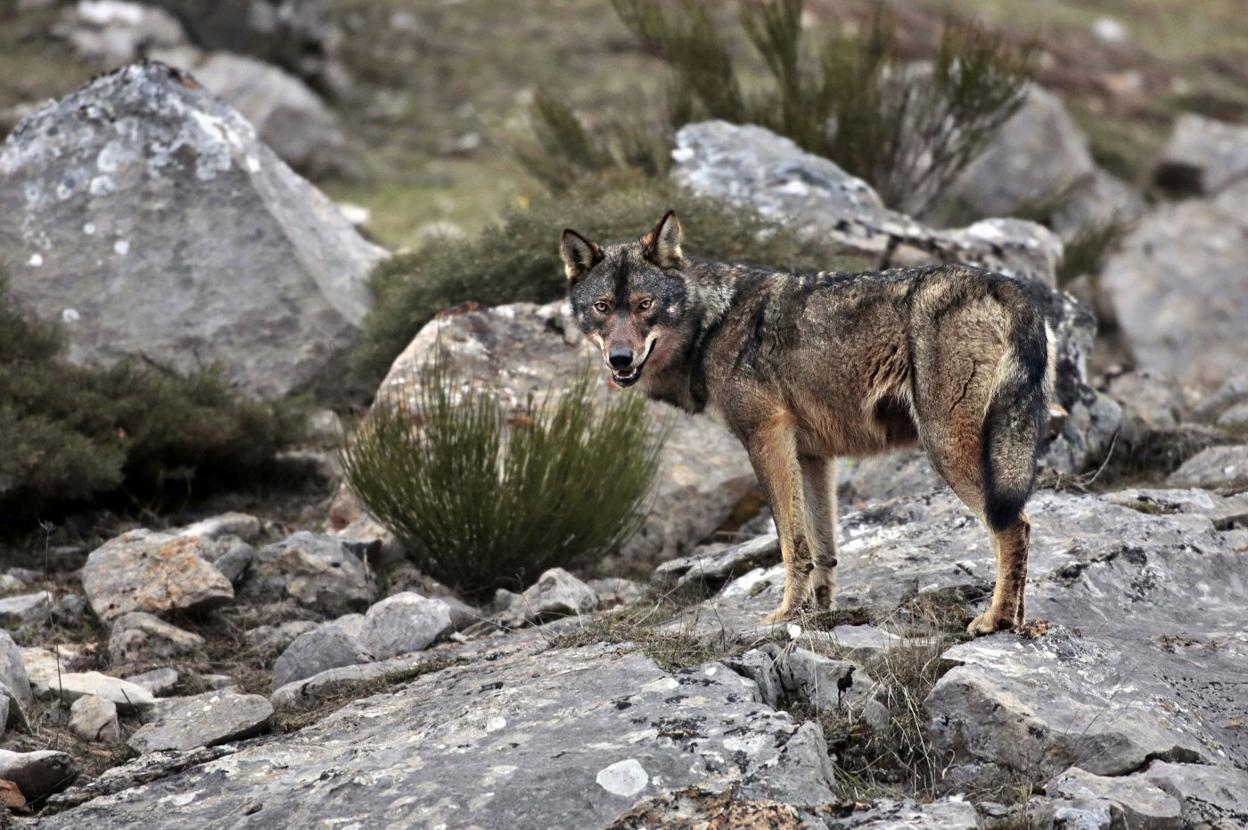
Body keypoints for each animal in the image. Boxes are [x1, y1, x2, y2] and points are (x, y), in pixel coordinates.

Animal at [559, 210, 1053, 631]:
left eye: (645, 305)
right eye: (603, 307)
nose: (620, 359)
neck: (710, 326)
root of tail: (1005, 284)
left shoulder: (767, 438)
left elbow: (790, 543)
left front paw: (785, 614)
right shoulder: (814, 456)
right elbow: (822, 547)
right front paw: (818, 612)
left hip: (948, 449)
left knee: (1014, 526)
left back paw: (996, 620)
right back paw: (1018, 620)